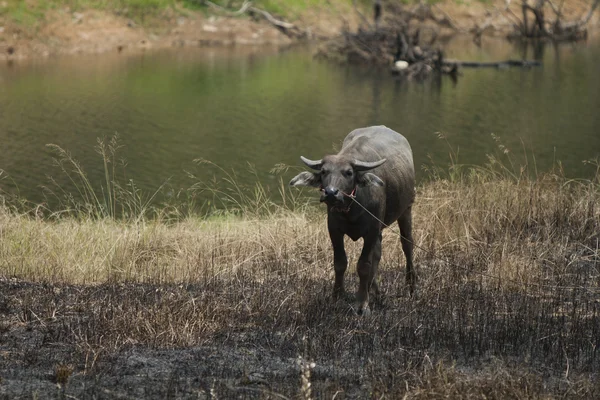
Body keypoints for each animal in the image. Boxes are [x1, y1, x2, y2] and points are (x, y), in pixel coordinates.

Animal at [290, 126, 412, 314]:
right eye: (324, 171)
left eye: (348, 172)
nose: (331, 193)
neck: (352, 209)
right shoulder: (334, 229)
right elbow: (340, 263)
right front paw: (337, 297)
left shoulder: (371, 230)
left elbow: (364, 265)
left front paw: (362, 304)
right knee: (378, 253)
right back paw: (374, 291)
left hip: (406, 210)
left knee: (407, 245)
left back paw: (411, 288)